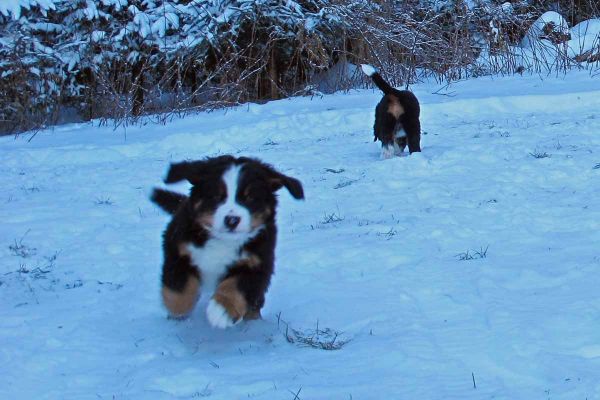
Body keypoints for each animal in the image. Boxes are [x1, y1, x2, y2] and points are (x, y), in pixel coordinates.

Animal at [150, 155, 304, 328]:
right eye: (216, 196)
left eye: (250, 198)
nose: (232, 220)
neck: (223, 241)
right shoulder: (177, 249)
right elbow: (178, 287)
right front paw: (178, 310)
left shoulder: (258, 263)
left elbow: (237, 286)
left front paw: (222, 310)